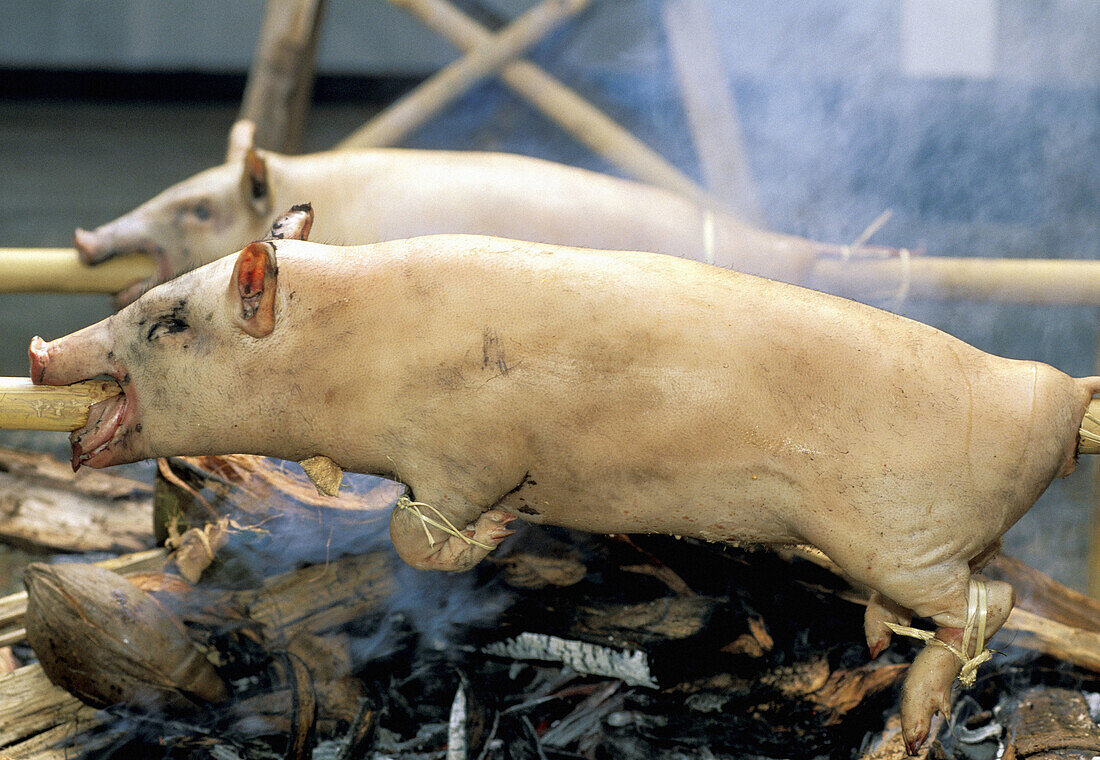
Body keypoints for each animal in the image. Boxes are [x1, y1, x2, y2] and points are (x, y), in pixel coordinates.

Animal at [30, 210, 1095, 756]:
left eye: (170, 321)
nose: (41, 351)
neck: (354, 355)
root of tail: (1055, 397)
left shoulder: (465, 453)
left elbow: (418, 534)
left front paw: (500, 535)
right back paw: (877, 645)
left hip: (901, 539)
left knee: (987, 605)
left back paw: (909, 713)